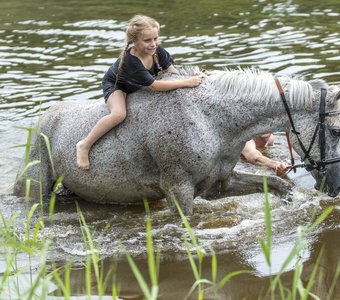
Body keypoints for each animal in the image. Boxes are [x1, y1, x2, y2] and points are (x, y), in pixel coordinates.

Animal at [13, 68, 340, 214]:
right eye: (336, 132)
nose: (335, 189)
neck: (212, 118)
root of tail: (42, 120)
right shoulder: (179, 191)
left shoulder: (221, 184)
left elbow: (276, 185)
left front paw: (290, 201)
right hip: (34, 185)